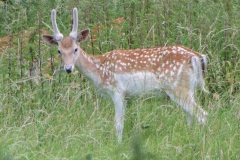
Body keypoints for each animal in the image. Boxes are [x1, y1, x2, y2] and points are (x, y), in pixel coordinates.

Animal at [42, 8, 208, 142]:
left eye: (75, 49)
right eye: (59, 51)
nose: (68, 68)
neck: (99, 70)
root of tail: (197, 57)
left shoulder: (117, 91)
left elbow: (118, 123)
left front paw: (118, 145)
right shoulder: (127, 96)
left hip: (178, 88)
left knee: (202, 114)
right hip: (188, 88)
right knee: (190, 116)